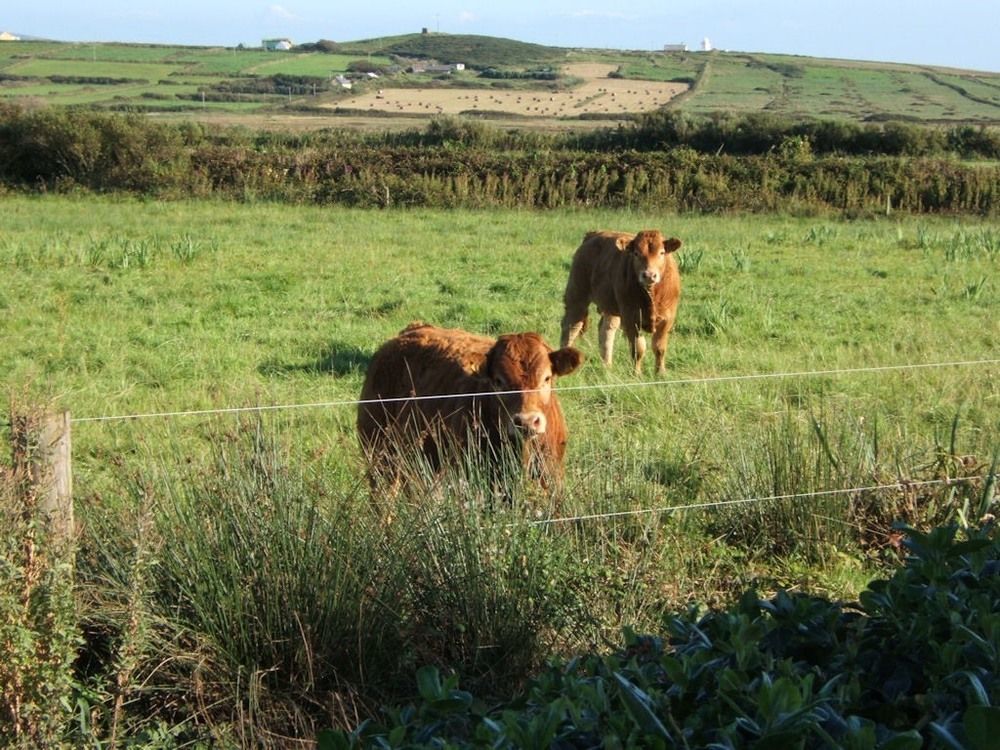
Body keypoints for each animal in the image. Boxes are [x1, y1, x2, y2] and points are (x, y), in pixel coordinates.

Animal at [560, 229, 684, 376]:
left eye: (662, 252)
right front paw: (636, 373)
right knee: (571, 327)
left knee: (606, 329)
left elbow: (659, 347)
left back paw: (607, 366)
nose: (649, 275)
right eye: (636, 253)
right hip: (577, 295)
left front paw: (660, 373)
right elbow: (638, 348)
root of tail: (594, 234)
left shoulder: (667, 319)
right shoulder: (631, 317)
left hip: (610, 306)